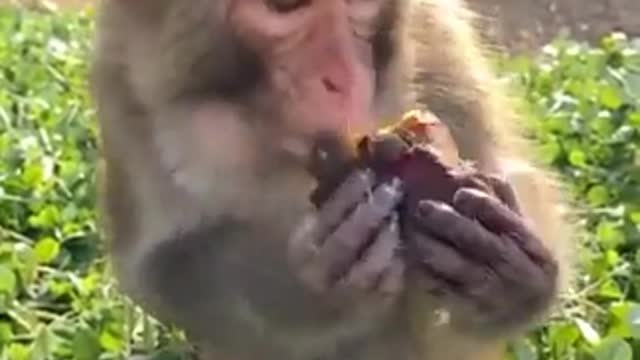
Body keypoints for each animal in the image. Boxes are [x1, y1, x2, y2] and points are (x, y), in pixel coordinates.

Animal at [90, 0, 576, 360]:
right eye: (285, 7)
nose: (343, 79)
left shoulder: (437, 37)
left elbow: (509, 168)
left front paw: (509, 270)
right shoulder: (126, 87)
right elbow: (158, 272)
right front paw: (311, 288)